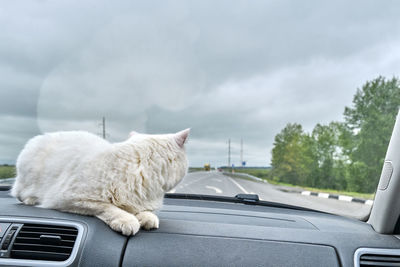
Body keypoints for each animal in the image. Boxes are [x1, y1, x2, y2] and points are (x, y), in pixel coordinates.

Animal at [10, 130, 189, 237]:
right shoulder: (71, 198)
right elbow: (109, 208)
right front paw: (128, 221)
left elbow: (146, 211)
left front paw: (147, 218)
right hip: (27, 178)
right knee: (19, 193)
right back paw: (30, 199)